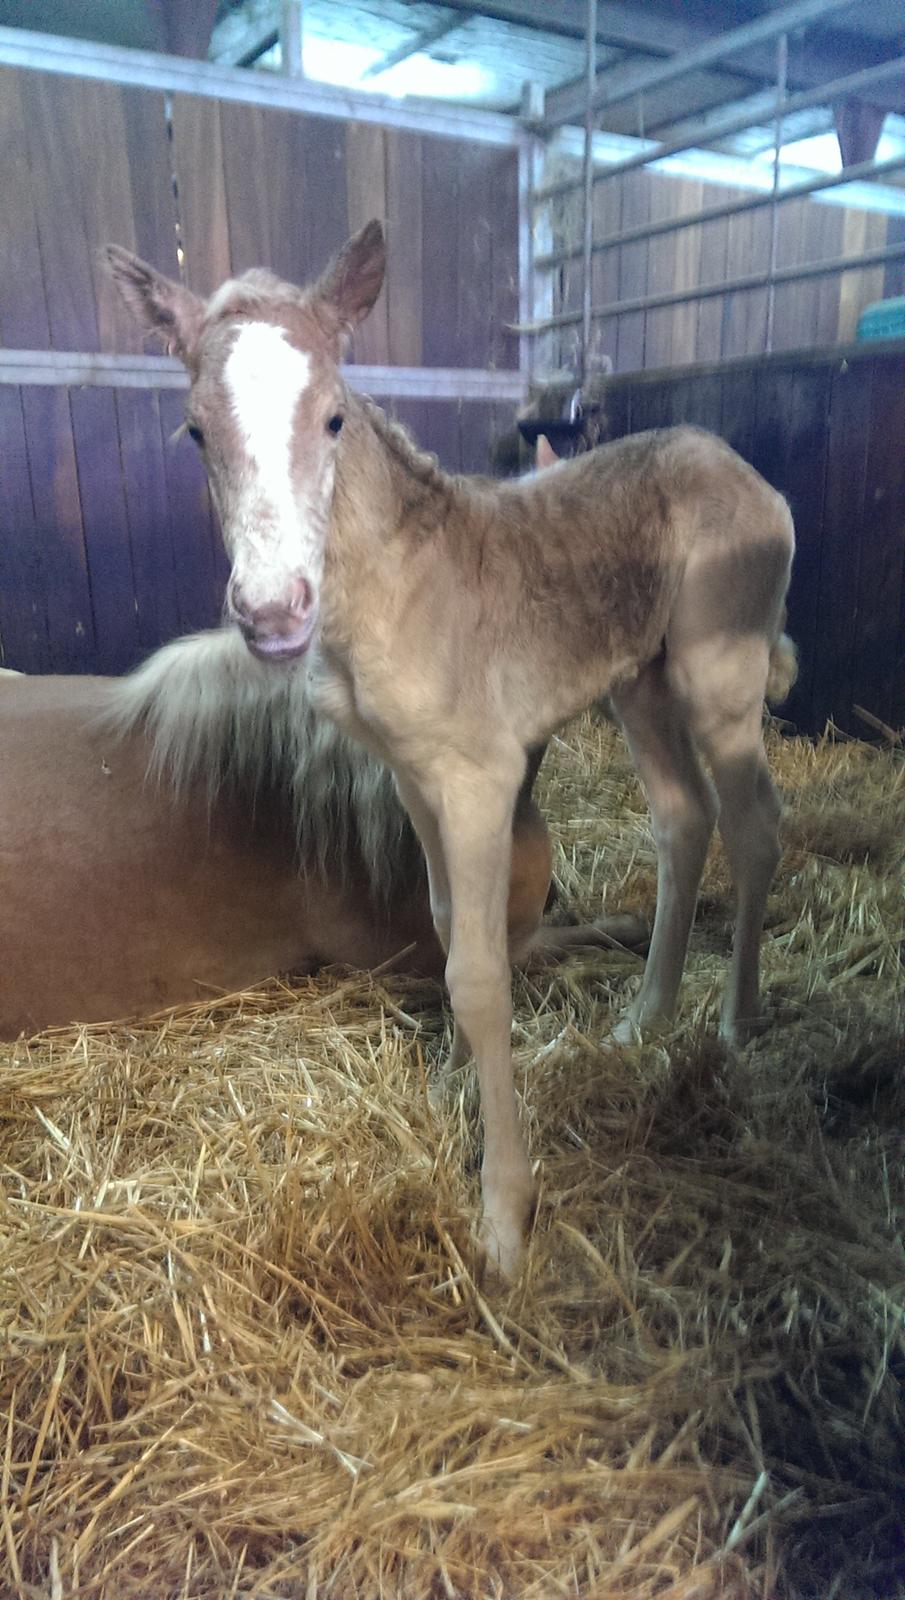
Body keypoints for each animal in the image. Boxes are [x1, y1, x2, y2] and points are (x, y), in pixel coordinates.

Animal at [110, 222, 799, 1273]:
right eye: (195, 430)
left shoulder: (480, 777)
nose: (272, 614)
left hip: (717, 675)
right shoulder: (412, 778)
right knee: (681, 822)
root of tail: (744, 474)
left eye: (334, 418)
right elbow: (440, 933)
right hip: (638, 682)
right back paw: (643, 1018)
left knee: (753, 824)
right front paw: (449, 1090)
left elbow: (478, 975)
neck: (395, 583)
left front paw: (504, 1218)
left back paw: (731, 1021)